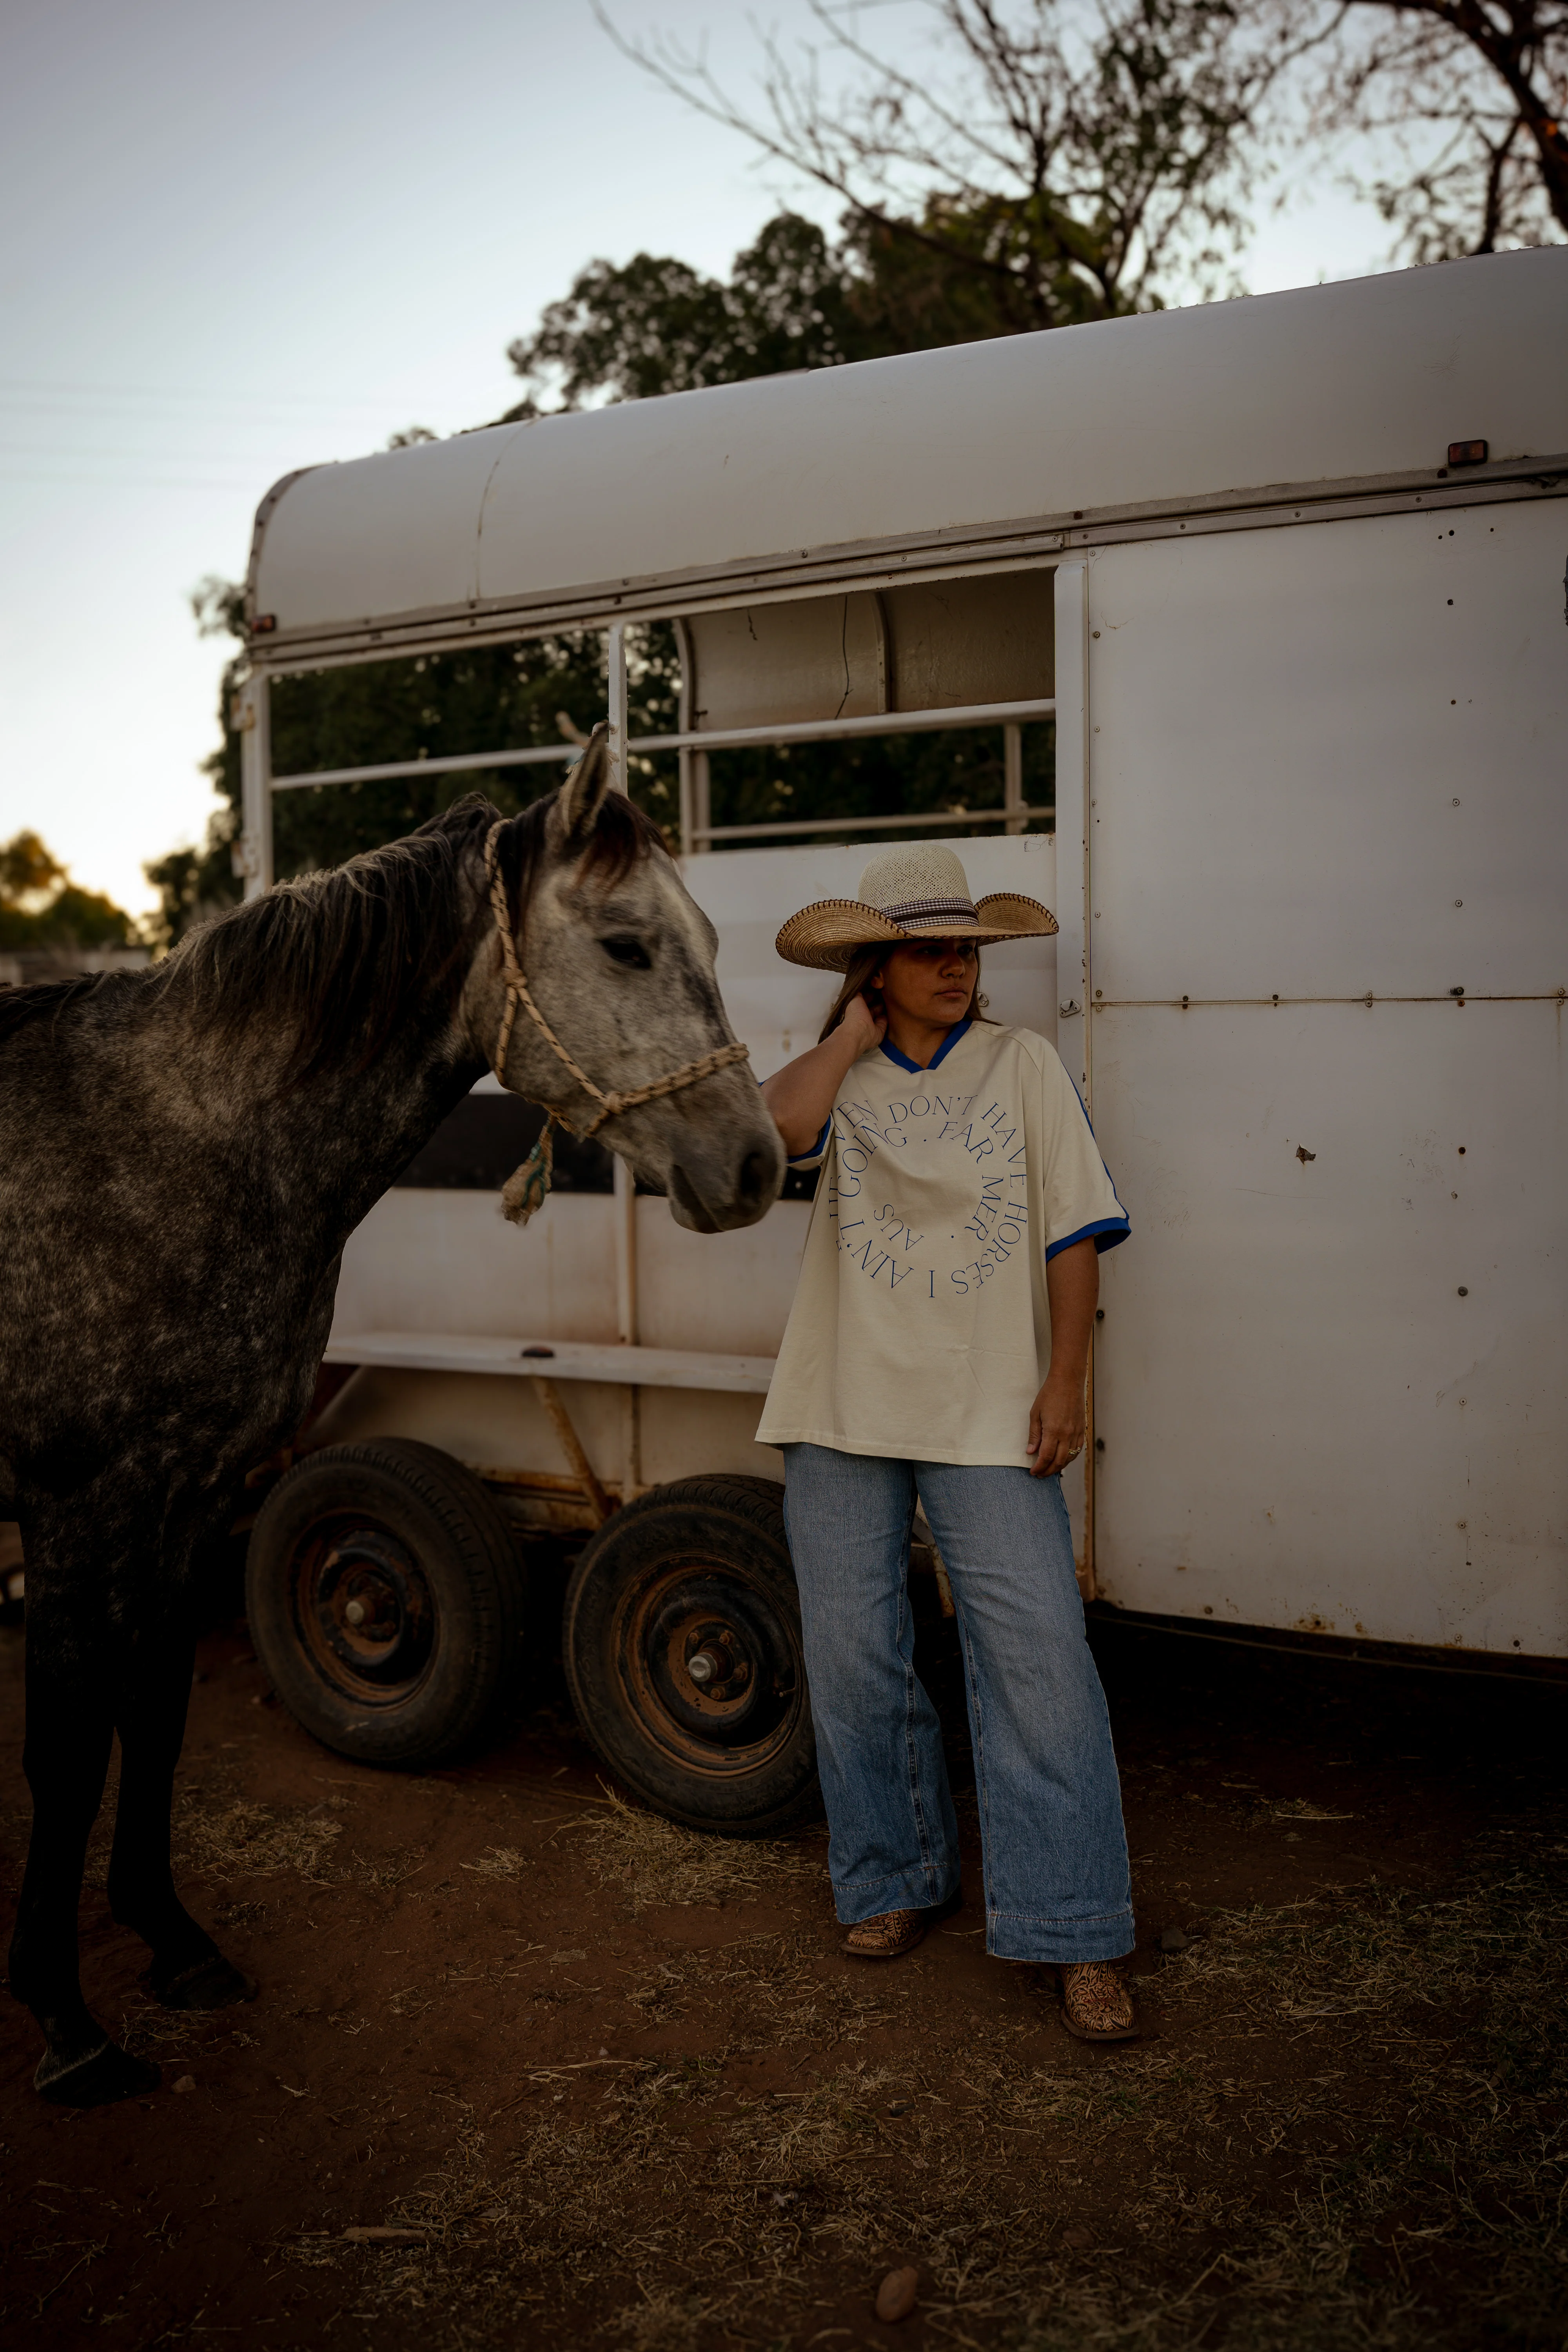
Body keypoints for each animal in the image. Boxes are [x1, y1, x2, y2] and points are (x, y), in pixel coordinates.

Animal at [0, 730, 783, 2107]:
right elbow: (68, 1749)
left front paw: (174, 1940)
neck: (160, 1152)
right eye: (627, 945)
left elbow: (155, 1714)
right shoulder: (80, 1513)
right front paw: (66, 2018)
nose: (756, 1165)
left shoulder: (187, 1503)